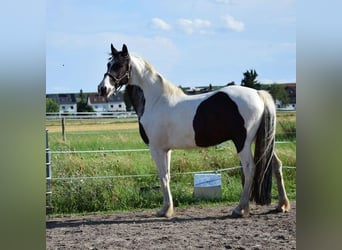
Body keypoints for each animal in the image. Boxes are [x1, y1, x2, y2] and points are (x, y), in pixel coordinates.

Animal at [97, 44, 290, 218]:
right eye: (108, 64)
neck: (156, 100)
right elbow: (167, 176)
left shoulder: (156, 149)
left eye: (119, 65)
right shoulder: (166, 150)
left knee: (250, 169)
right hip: (262, 140)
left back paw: (240, 209)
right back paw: (281, 205)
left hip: (242, 142)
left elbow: (162, 177)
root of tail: (258, 94)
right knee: (275, 165)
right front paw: (167, 208)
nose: (102, 89)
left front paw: (165, 210)